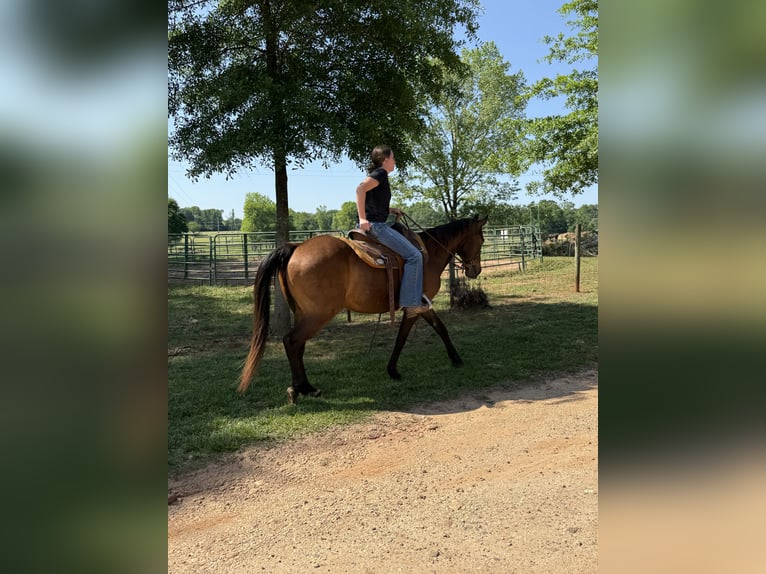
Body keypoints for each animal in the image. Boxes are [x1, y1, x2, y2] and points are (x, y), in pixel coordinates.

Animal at [238, 215, 488, 403]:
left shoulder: (421, 306)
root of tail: (296, 247)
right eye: (482, 239)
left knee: (298, 345)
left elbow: (439, 328)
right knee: (291, 341)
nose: (475, 270)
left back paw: (302, 387)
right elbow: (405, 337)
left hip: (303, 313)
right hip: (317, 315)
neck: (428, 254)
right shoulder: (416, 306)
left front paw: (454, 358)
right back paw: (303, 388)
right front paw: (394, 370)